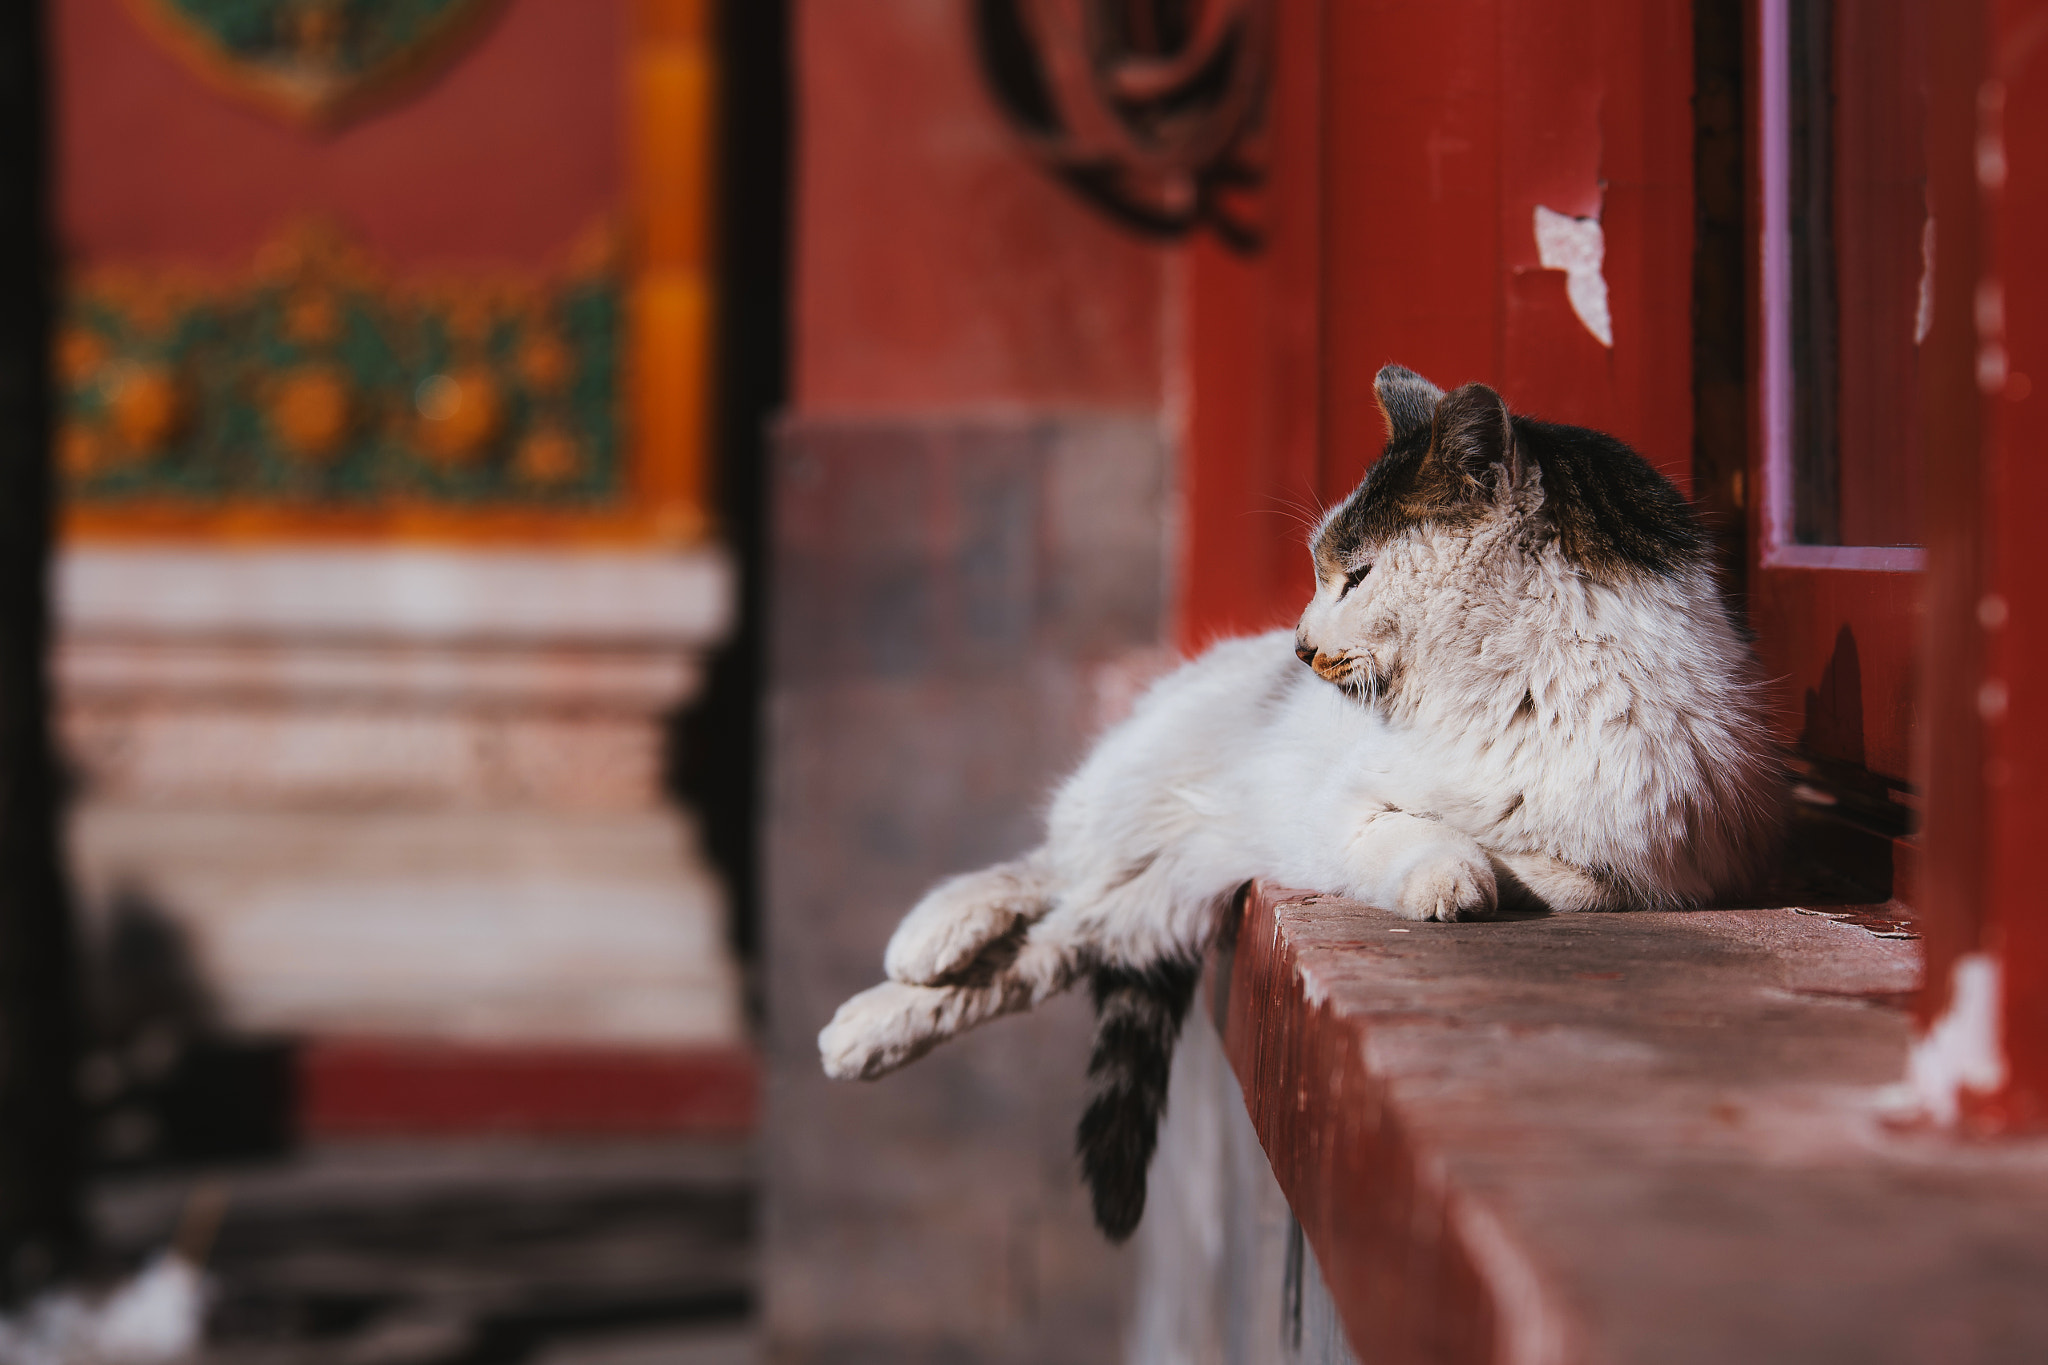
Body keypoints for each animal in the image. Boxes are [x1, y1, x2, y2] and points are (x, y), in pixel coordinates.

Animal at [811, 368, 1777, 1244]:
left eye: (1357, 574)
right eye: (1321, 571)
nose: (1301, 646)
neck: (1521, 686)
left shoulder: (1657, 863)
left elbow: (1551, 869)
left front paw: (1487, 864)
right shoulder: (1334, 809)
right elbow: (1406, 829)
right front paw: (1448, 873)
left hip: (1160, 886)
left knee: (1056, 940)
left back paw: (874, 1025)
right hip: (1133, 790)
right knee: (1046, 873)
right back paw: (925, 944)